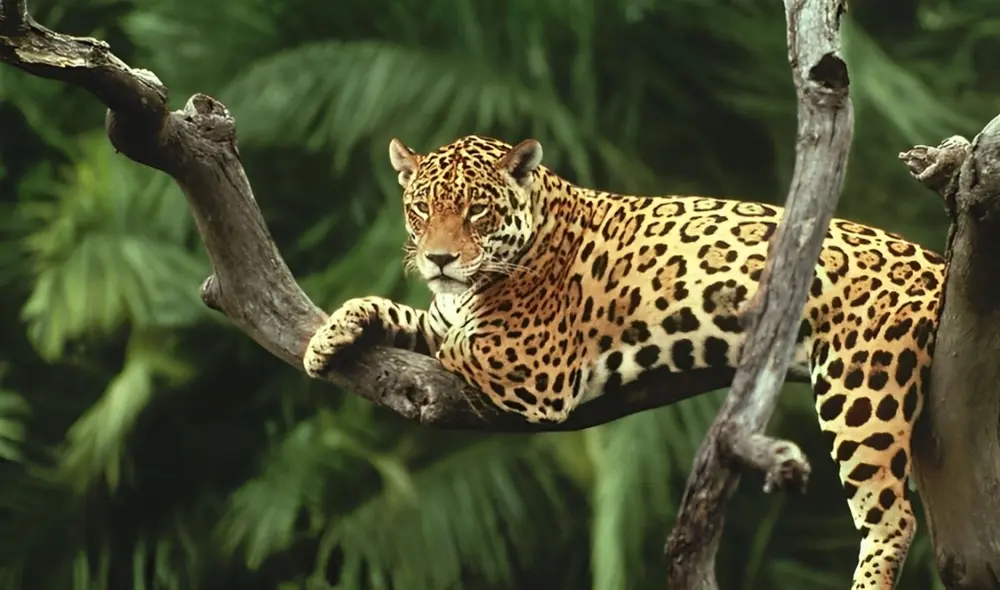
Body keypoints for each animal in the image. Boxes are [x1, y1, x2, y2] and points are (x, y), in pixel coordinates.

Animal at [303, 134, 945, 590]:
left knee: (893, 518)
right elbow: (395, 311)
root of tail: (939, 264)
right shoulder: (442, 315)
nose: (438, 258)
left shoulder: (533, 362)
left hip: (861, 387)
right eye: (420, 209)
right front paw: (326, 338)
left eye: (477, 213)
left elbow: (457, 343)